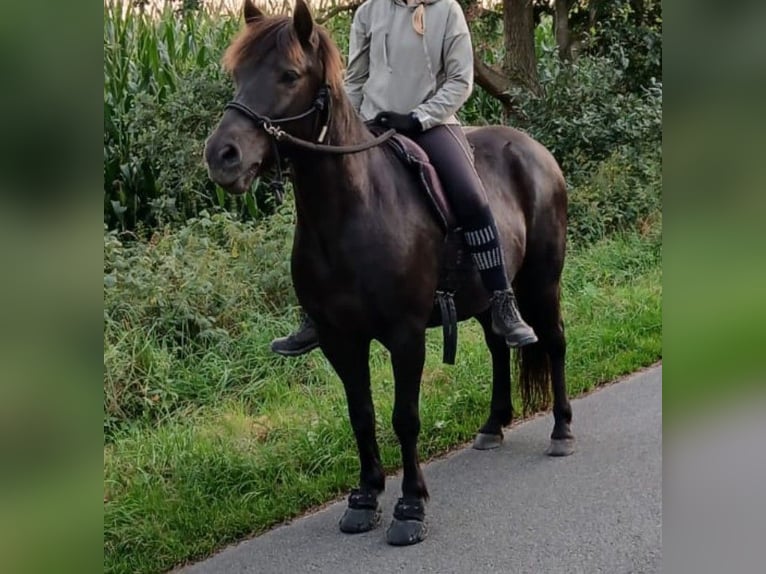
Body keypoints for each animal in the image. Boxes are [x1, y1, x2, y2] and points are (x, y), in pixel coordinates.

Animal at [205, 0, 573, 546]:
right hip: (488, 298)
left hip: (541, 283)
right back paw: (492, 425)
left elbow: (405, 418)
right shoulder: (339, 339)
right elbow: (361, 416)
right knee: (498, 344)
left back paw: (562, 430)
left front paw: (410, 508)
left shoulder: (405, 335)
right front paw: (363, 498)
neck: (350, 213)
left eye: (288, 74)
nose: (221, 156)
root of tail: (535, 150)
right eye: (237, 73)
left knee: (554, 342)